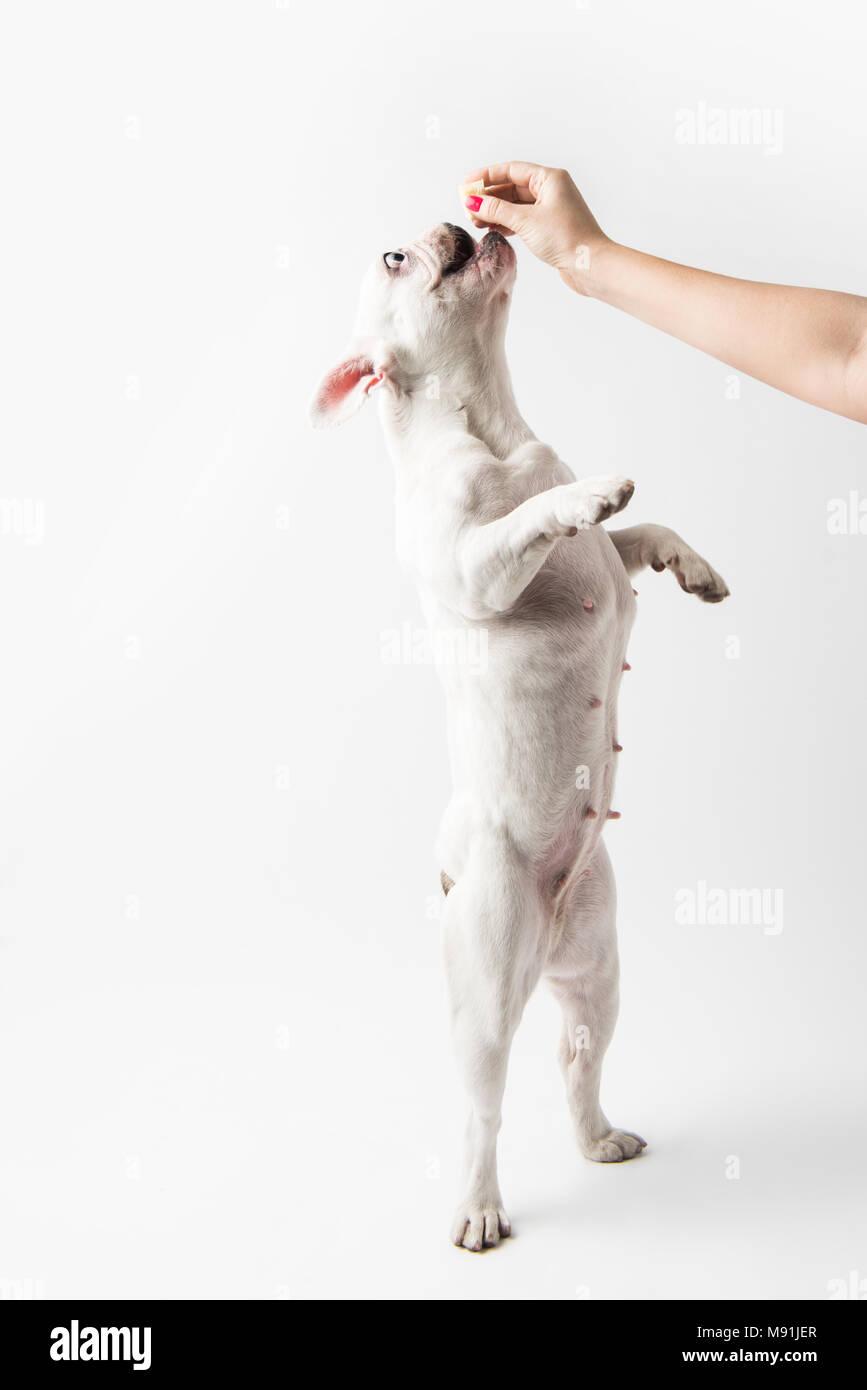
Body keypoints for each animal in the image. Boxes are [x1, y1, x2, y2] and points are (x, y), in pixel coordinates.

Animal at [308, 222, 728, 1256]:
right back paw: (478, 1208)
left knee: (577, 1058)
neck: (490, 424)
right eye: (392, 260)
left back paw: (599, 1138)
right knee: (480, 1106)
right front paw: (587, 496)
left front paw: (690, 563)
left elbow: (639, 536)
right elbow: (538, 519)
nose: (455, 222)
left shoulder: (611, 561)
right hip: (484, 982)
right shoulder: (474, 564)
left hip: (600, 967)